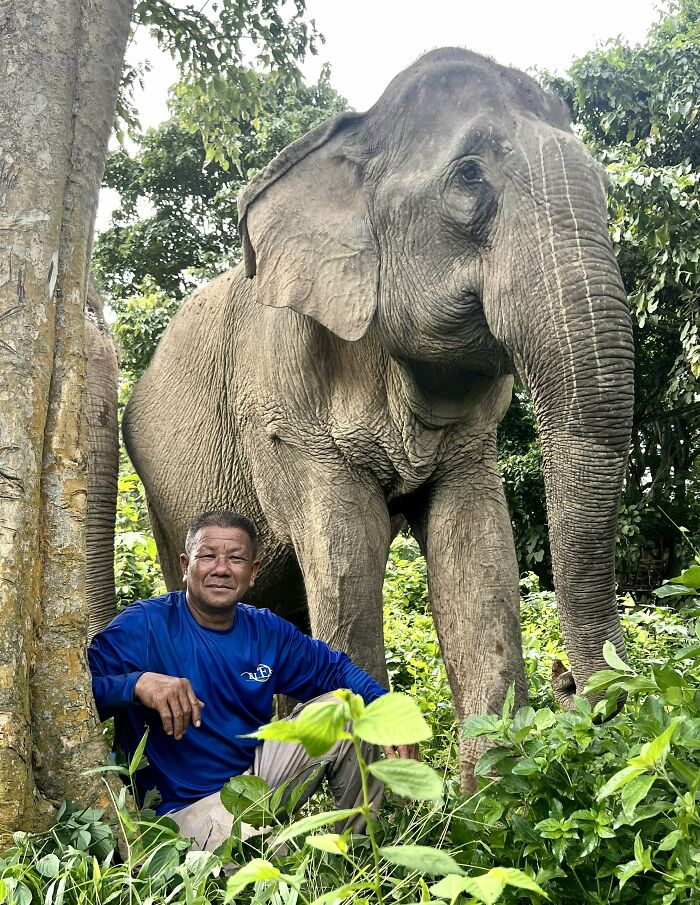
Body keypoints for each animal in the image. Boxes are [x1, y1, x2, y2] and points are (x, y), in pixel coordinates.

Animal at [120, 49, 636, 784]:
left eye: (603, 183)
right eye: (469, 176)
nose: (572, 687)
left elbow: (478, 553)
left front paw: (490, 801)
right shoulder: (286, 407)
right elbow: (347, 561)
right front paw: (374, 806)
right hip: (161, 492)